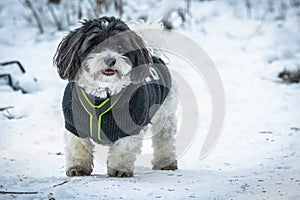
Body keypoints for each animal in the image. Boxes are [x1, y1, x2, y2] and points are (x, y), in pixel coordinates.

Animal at [53, 16, 177, 177]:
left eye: (120, 46)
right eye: (94, 44)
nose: (110, 60)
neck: (102, 95)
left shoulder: (130, 125)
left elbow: (123, 150)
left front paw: (120, 170)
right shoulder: (74, 123)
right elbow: (78, 147)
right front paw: (78, 167)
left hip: (165, 114)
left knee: (165, 139)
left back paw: (166, 162)